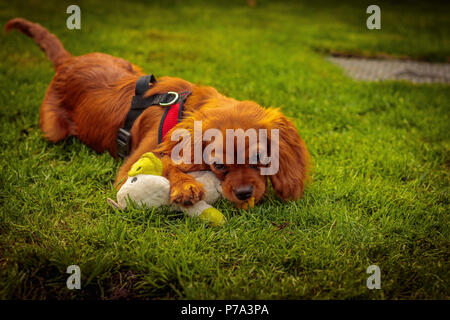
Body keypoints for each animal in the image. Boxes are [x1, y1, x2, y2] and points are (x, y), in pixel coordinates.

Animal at [6, 18, 310, 208]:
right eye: (218, 165)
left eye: (261, 158)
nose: (245, 193)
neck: (184, 108)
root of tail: (68, 62)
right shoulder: (130, 165)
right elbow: (162, 161)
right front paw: (185, 186)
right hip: (54, 130)